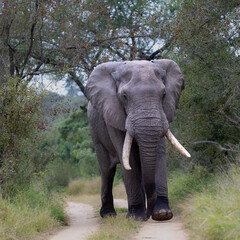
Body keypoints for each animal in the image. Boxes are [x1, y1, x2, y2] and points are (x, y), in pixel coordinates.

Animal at [85, 59, 190, 221]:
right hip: (95, 132)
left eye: (164, 94)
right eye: (124, 96)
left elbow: (158, 155)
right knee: (107, 171)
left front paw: (163, 214)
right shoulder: (113, 113)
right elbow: (130, 161)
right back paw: (108, 215)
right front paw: (136, 217)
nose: (149, 215)